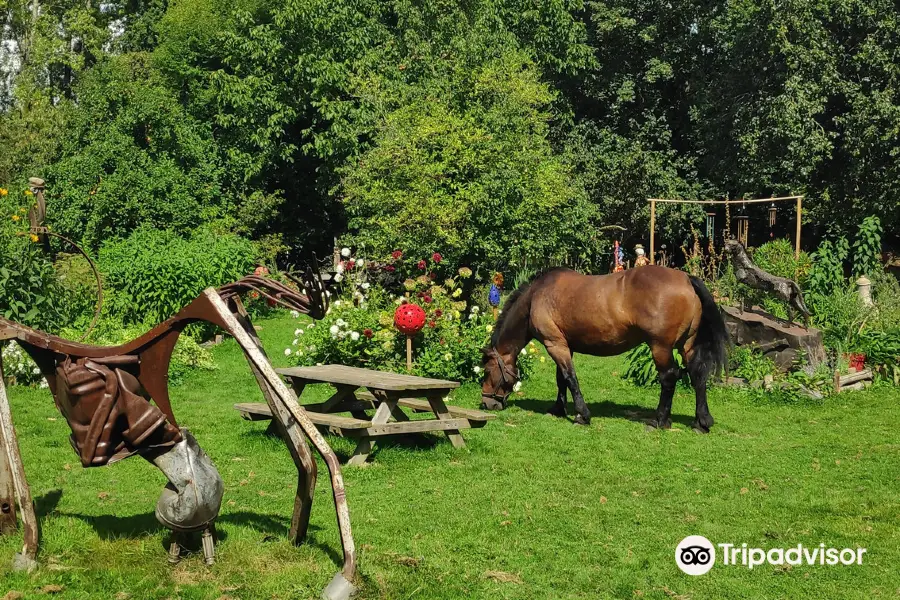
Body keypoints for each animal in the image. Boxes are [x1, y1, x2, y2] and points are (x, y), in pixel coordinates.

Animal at [482, 268, 728, 432]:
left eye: (486, 371)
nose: (486, 403)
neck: (536, 297)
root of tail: (686, 279)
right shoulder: (563, 345)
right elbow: (561, 379)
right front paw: (558, 409)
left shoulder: (554, 344)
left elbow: (570, 378)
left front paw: (582, 415)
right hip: (686, 344)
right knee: (697, 374)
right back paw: (701, 422)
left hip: (660, 346)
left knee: (669, 377)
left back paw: (659, 420)